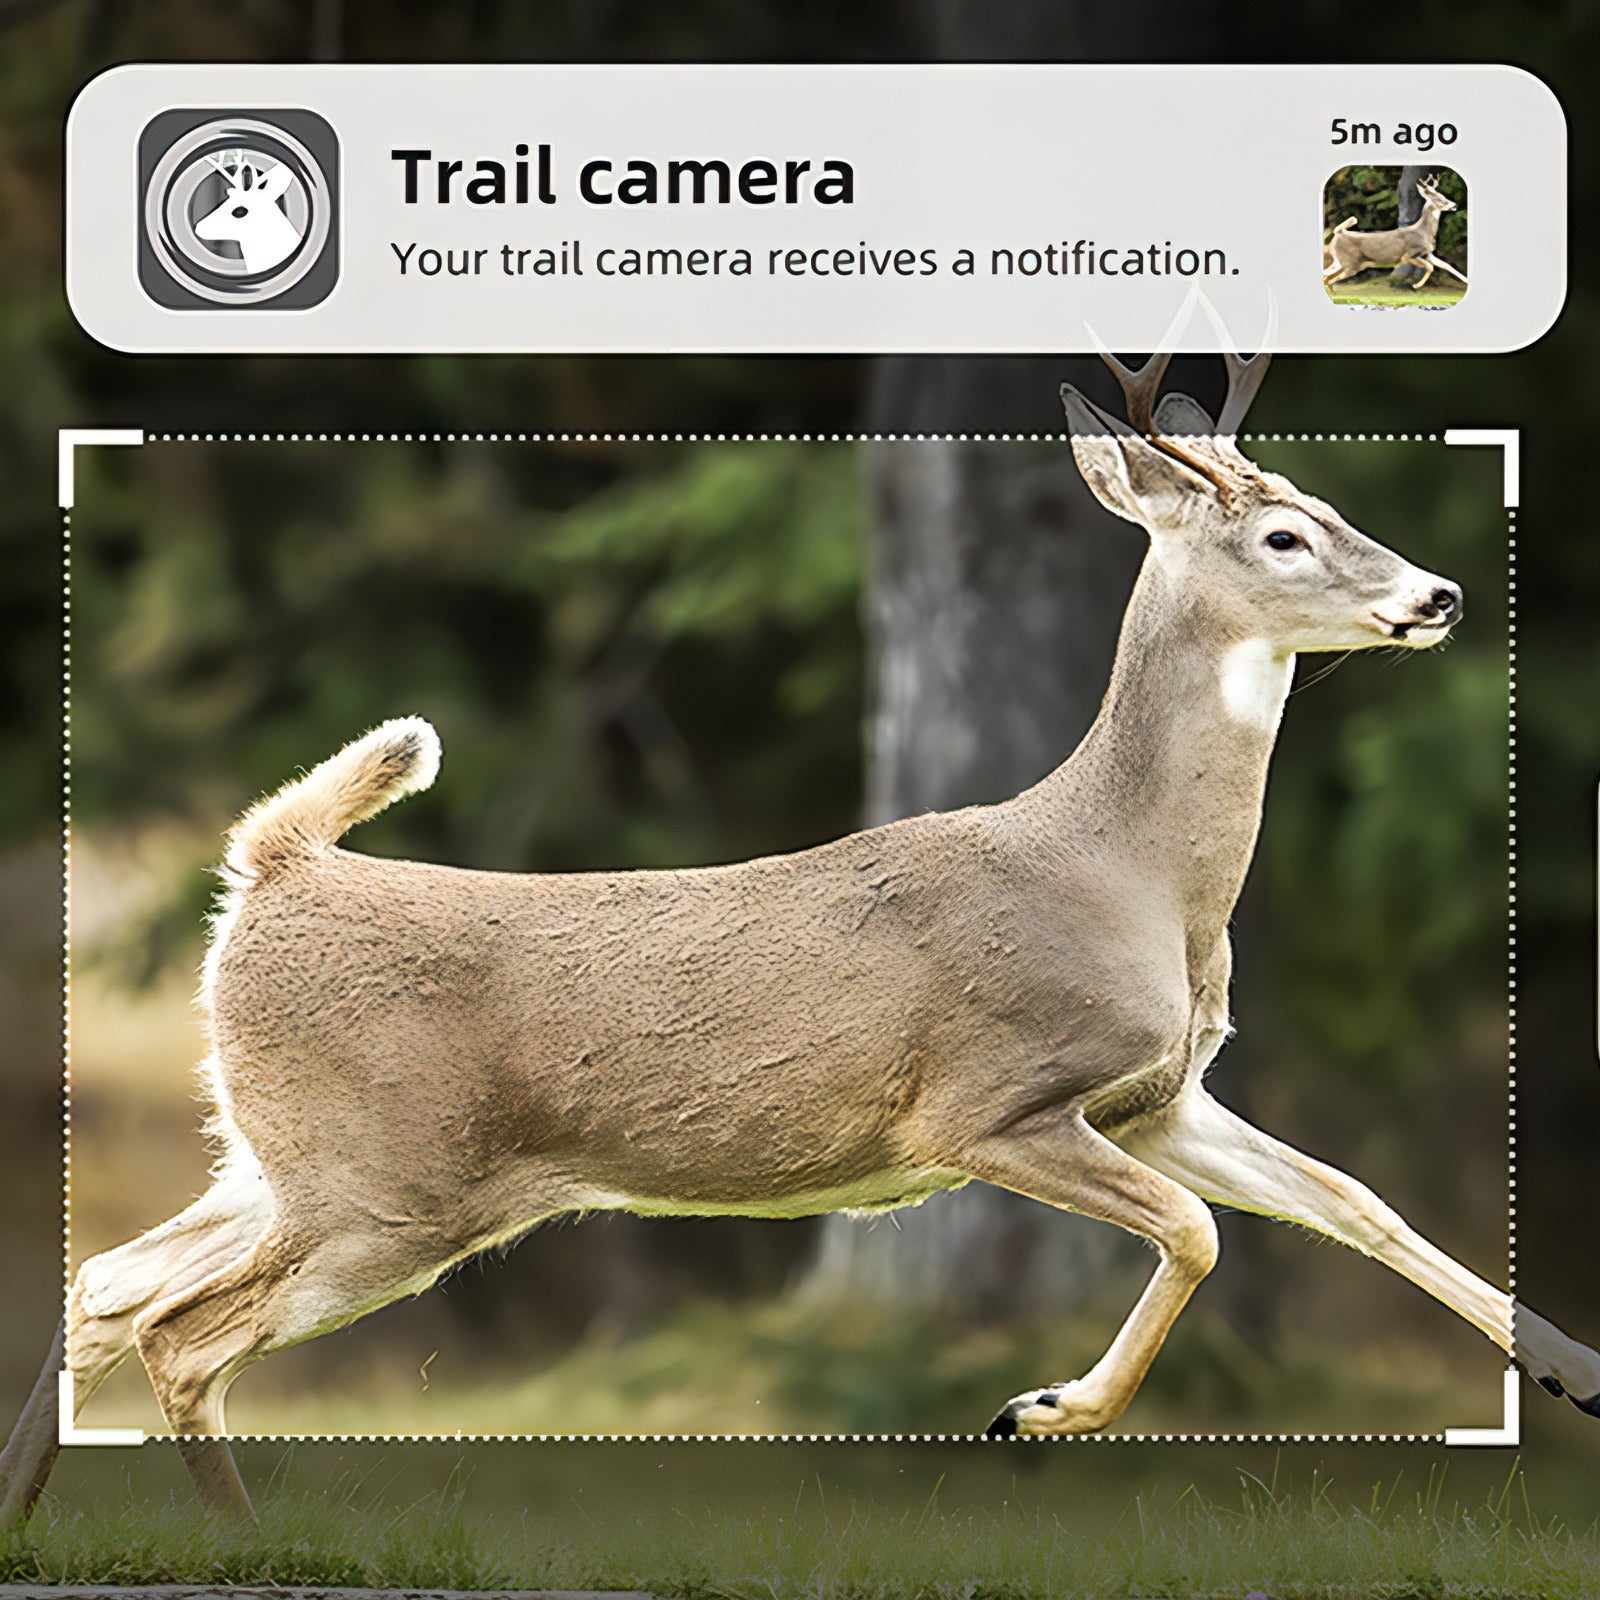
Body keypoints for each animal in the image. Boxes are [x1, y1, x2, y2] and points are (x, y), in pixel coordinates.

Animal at [5, 353, 1597, 1528]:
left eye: (1330, 501)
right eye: (1283, 534)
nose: (1440, 594)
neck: (1134, 876)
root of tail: (268, 870)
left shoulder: (1160, 1096)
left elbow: (1356, 1201)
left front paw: (1576, 1371)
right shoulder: (982, 1103)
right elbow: (1200, 1232)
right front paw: (1044, 1408)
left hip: (287, 1159)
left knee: (107, 1286)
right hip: (387, 1187)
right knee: (179, 1333)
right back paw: (246, 1548)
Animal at [1324, 174, 1466, 292]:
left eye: (1444, 196)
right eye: (1439, 198)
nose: (1455, 205)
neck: (1424, 232)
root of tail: (1339, 232)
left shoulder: (1428, 254)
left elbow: (1447, 265)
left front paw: (1466, 280)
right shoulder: (1410, 255)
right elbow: (1430, 267)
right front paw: (1416, 285)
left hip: (1340, 261)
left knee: (1326, 276)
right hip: (1351, 263)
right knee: (1329, 280)